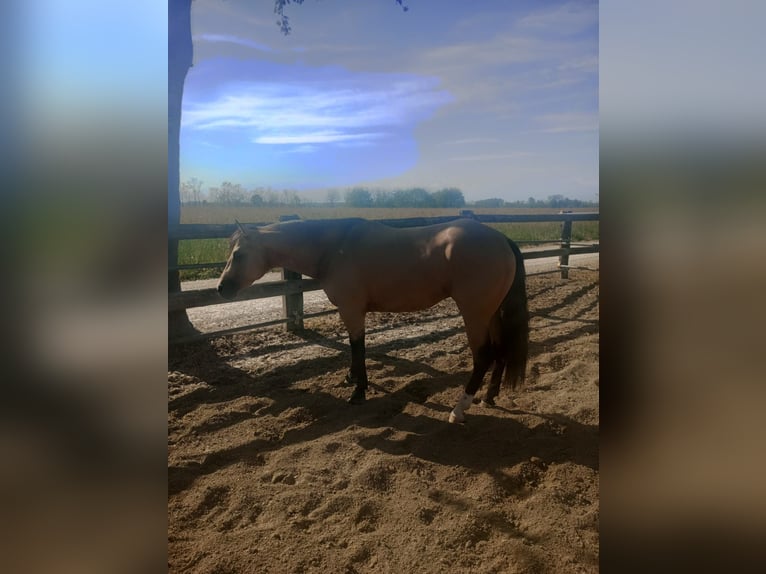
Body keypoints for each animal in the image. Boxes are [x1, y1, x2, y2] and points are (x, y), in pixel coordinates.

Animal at [216, 218, 528, 426]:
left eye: (238, 254)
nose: (221, 288)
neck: (334, 247)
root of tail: (501, 239)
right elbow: (355, 347)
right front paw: (351, 378)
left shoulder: (352, 310)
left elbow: (358, 346)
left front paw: (358, 391)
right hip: (492, 312)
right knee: (501, 351)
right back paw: (489, 397)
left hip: (474, 313)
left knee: (484, 356)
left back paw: (459, 409)